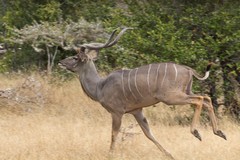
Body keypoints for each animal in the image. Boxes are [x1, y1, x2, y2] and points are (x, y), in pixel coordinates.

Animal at [58, 28, 227, 159]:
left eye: (75, 57)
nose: (60, 62)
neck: (100, 86)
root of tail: (189, 69)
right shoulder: (137, 111)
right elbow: (149, 134)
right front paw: (169, 155)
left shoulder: (117, 112)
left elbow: (114, 134)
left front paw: (110, 155)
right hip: (185, 91)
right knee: (207, 98)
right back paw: (219, 132)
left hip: (171, 97)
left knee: (199, 99)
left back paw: (197, 132)